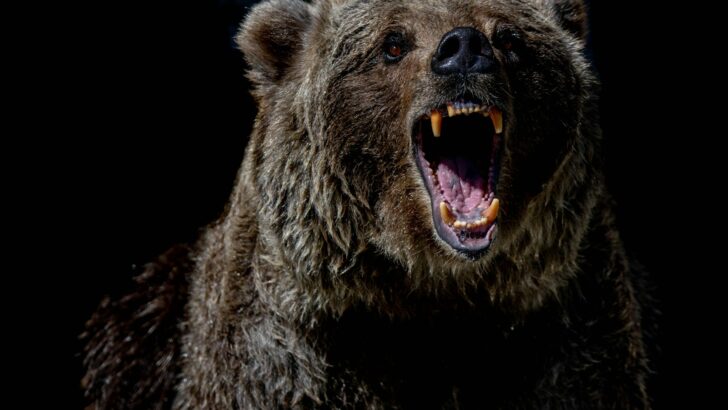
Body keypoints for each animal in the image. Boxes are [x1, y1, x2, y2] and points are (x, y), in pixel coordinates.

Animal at [82, 0, 654, 408]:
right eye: (393, 43)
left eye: (510, 38)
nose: (464, 48)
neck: (428, 291)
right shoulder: (292, 352)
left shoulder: (560, 331)